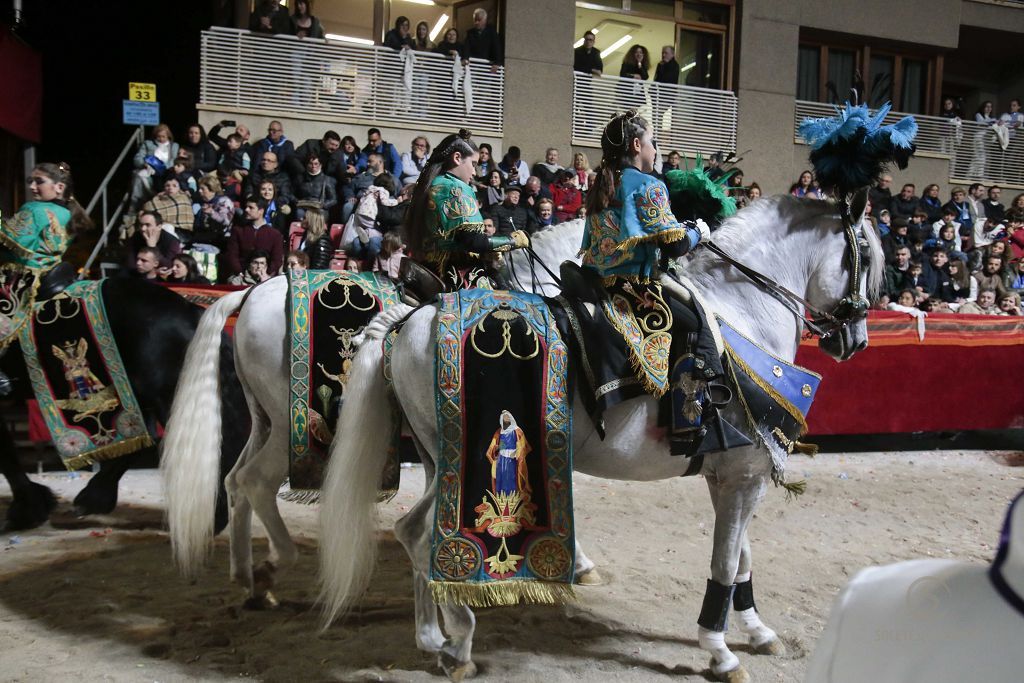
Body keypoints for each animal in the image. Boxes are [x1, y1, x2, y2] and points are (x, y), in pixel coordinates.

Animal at [161, 219, 593, 602]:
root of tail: (251, 293)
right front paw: (578, 562)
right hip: (286, 429)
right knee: (255, 481)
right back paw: (273, 566)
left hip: (265, 421)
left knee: (235, 480)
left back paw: (245, 575)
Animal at [321, 194, 888, 679]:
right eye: (869, 257)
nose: (855, 341)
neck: (741, 313)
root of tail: (415, 315)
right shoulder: (744, 474)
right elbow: (726, 559)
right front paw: (719, 650)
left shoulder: (731, 471)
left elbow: (741, 553)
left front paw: (756, 630)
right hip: (460, 469)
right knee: (420, 536)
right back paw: (459, 640)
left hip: (441, 464)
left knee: (412, 533)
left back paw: (432, 637)